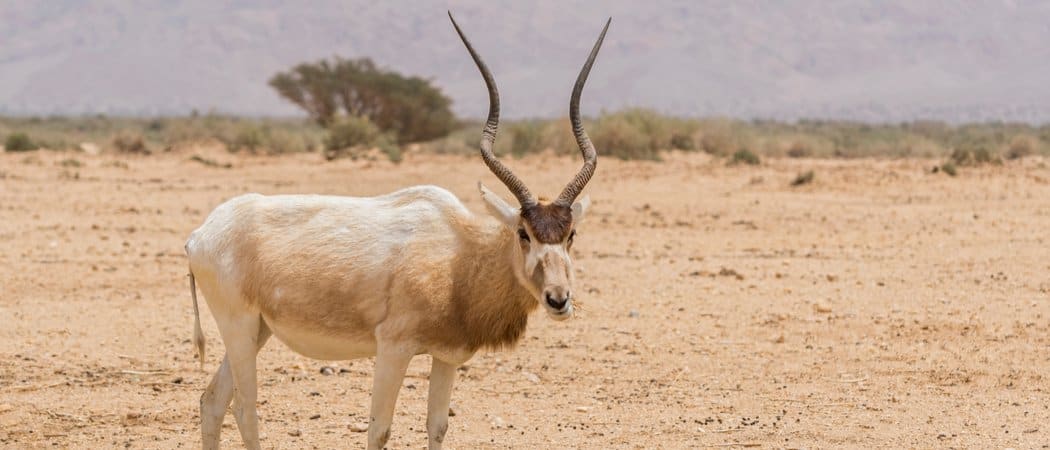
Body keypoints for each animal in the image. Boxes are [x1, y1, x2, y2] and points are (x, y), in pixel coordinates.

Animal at [184, 12, 613, 446]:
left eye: (570, 235)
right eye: (524, 234)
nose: (558, 299)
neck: (460, 255)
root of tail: (199, 236)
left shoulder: (445, 356)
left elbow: (438, 425)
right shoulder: (393, 348)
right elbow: (379, 429)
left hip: (258, 330)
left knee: (212, 400)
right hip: (238, 326)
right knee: (244, 408)